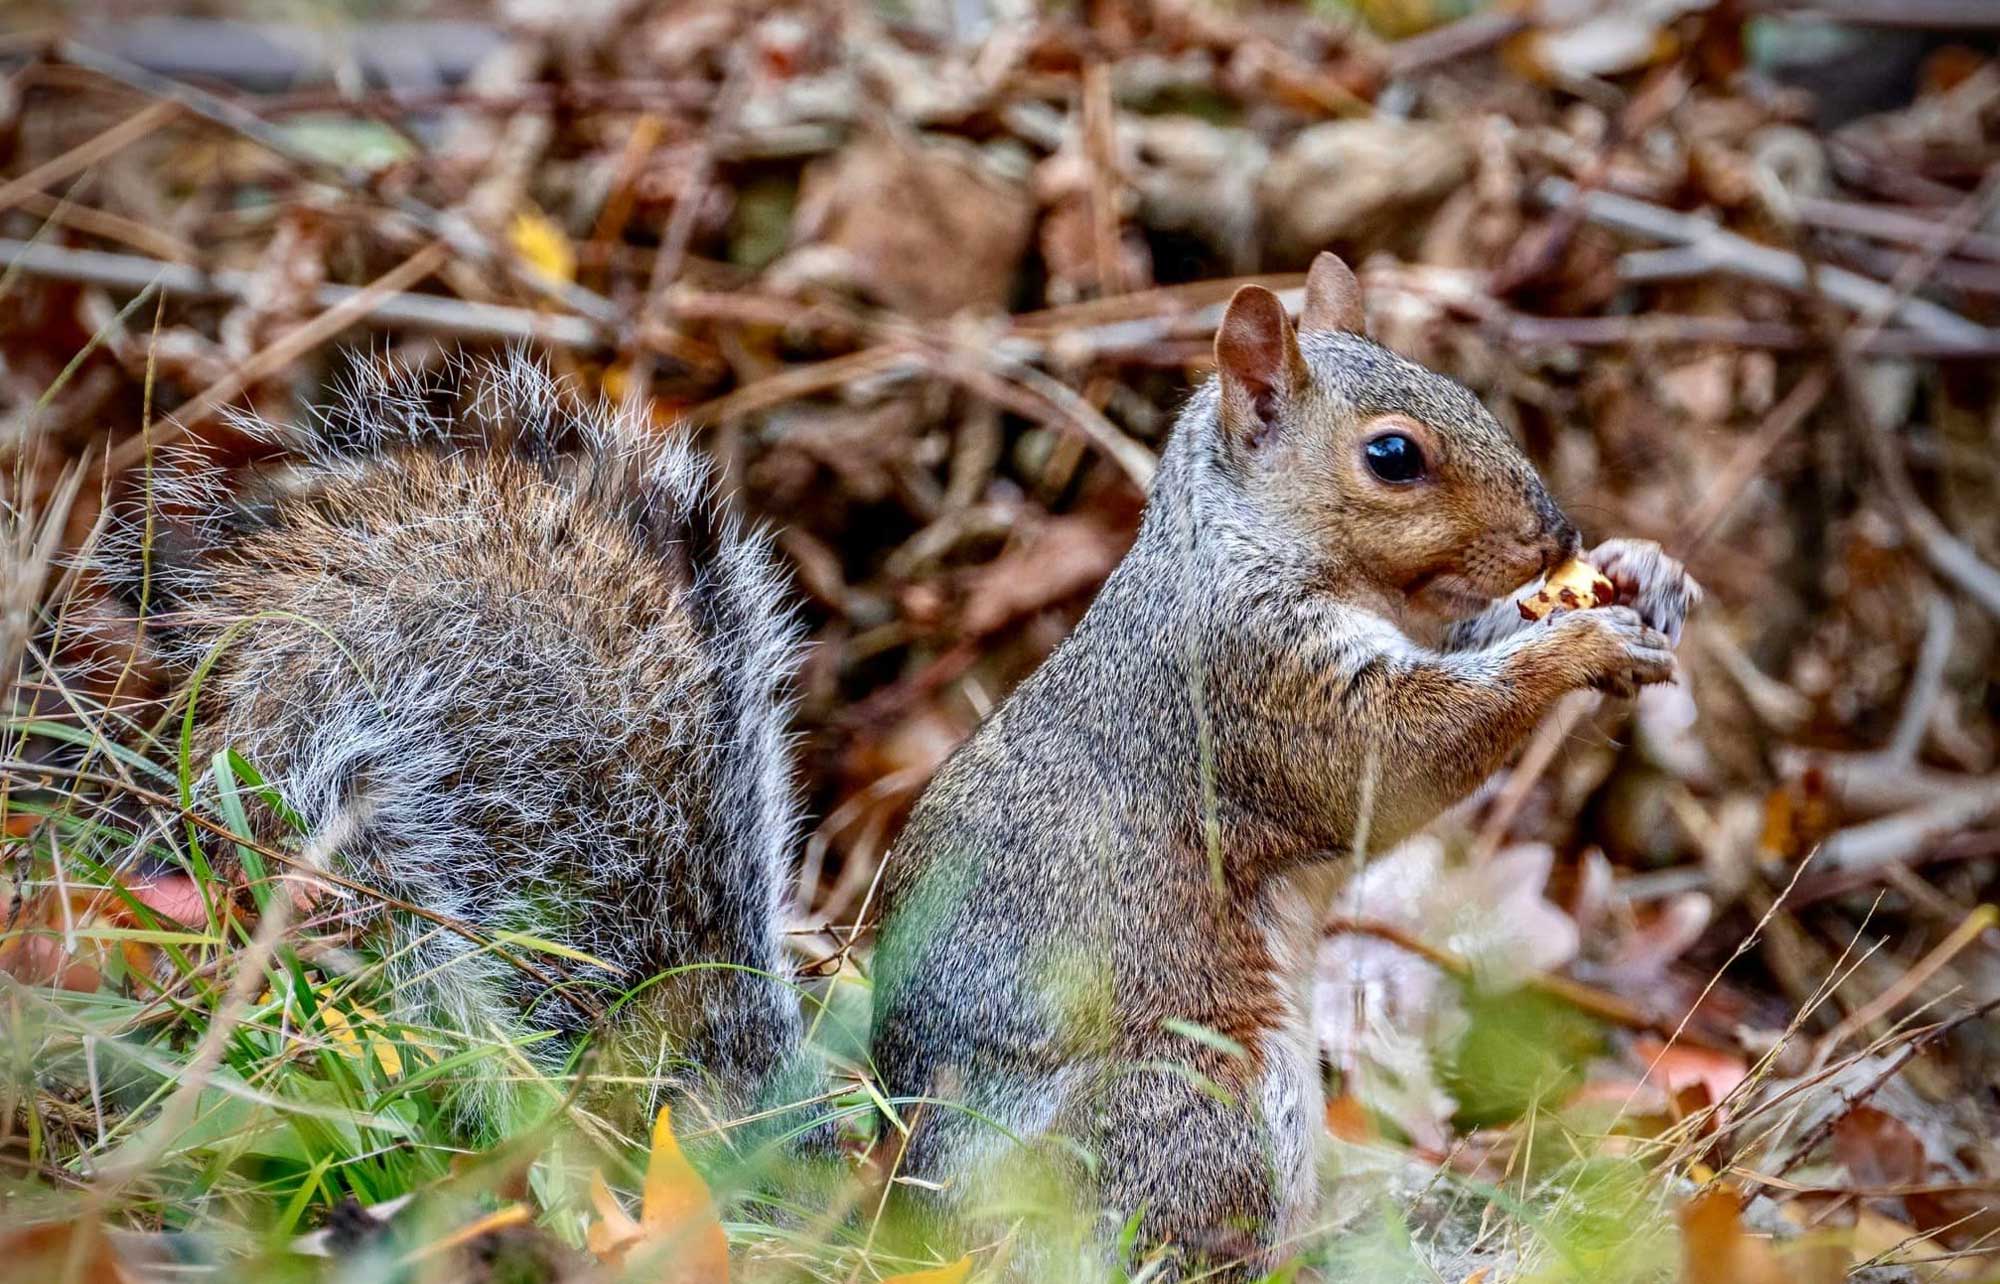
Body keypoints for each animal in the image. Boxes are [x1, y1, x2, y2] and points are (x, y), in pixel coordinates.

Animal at [868, 254, 1698, 1278]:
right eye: (1393, 456)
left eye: (1469, 395)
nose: (1559, 538)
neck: (1236, 545)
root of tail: (923, 1216)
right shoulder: (1261, 680)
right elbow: (1403, 750)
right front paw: (1579, 645)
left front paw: (1643, 569)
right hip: (1204, 1106)